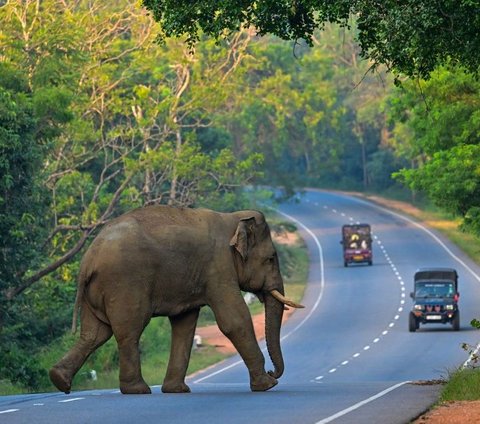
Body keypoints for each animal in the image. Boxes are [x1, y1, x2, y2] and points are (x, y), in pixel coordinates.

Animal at [49, 205, 304, 394]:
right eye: (270, 258)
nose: (272, 372)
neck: (233, 219)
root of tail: (88, 260)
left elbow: (185, 324)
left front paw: (176, 390)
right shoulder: (218, 268)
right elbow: (234, 320)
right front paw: (267, 386)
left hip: (97, 291)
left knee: (95, 334)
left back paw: (59, 380)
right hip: (124, 285)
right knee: (129, 331)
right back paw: (138, 390)